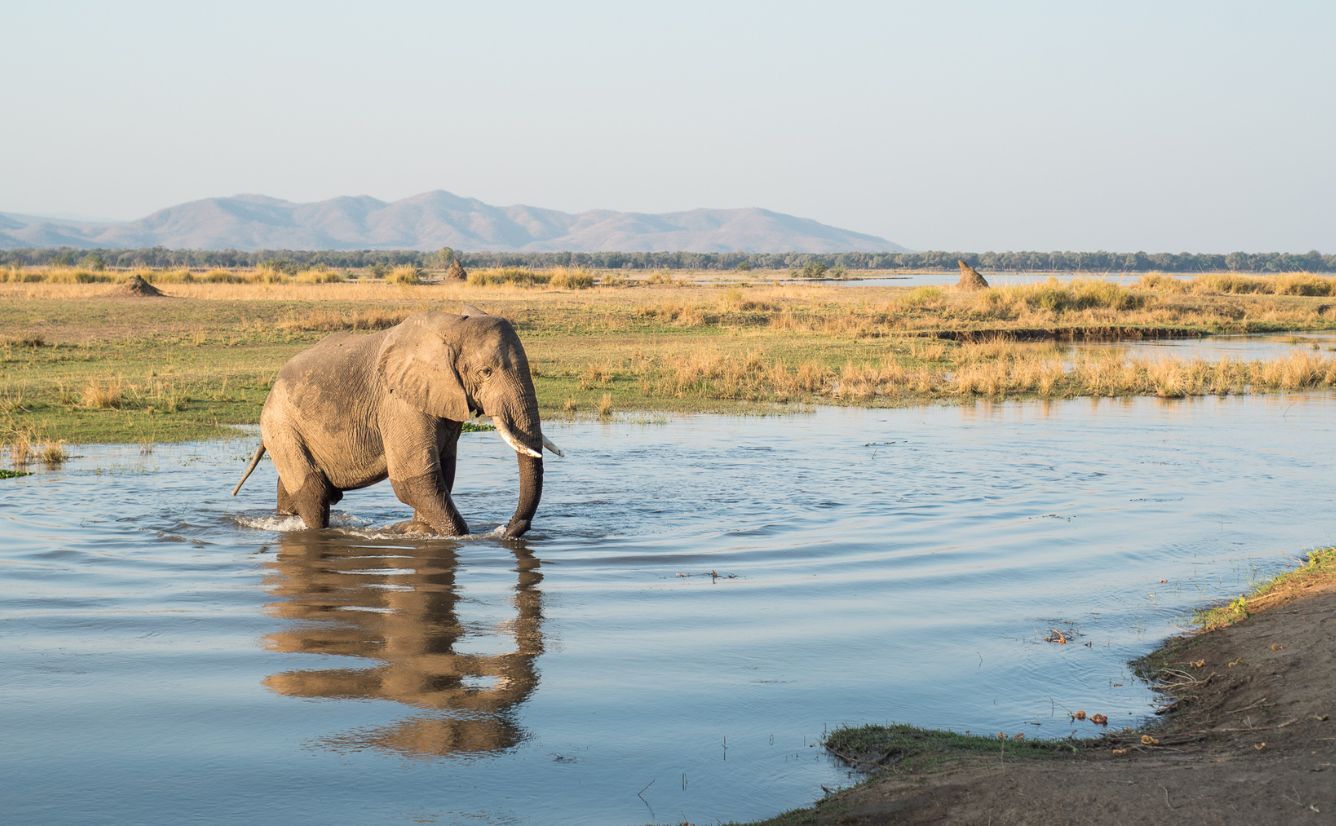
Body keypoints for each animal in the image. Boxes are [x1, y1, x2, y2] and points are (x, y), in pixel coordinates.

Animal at [231, 309, 560, 538]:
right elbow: (413, 480)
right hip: (281, 426)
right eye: (486, 372)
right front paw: (457, 536)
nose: (509, 531)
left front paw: (421, 531)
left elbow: (443, 474)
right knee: (314, 494)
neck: (453, 325)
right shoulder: (399, 404)